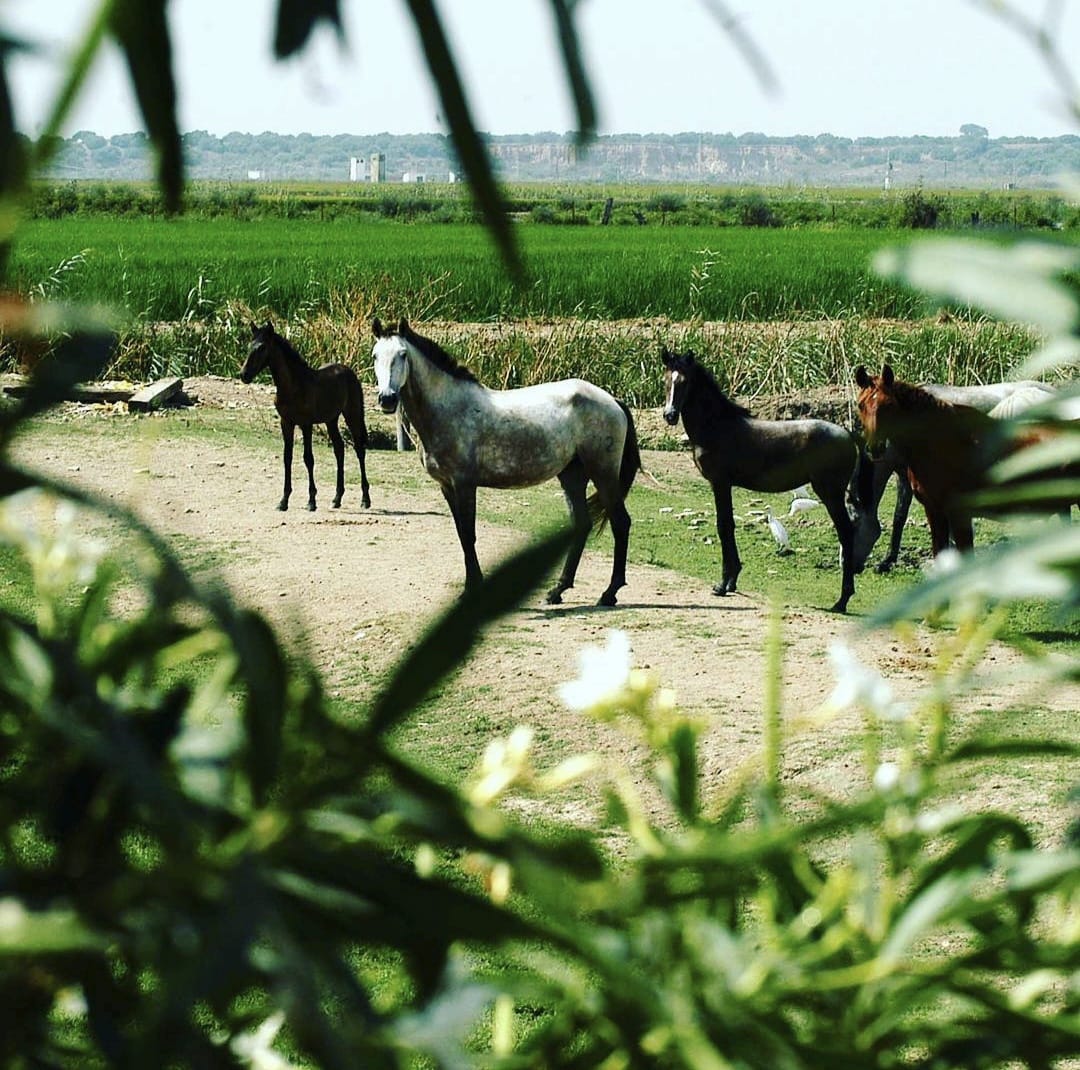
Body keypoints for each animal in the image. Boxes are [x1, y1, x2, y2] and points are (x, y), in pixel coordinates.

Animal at [240, 322, 371, 512]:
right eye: (250, 345)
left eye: (262, 347)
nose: (244, 375)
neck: (293, 385)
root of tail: (349, 372)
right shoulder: (286, 423)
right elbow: (287, 458)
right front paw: (283, 501)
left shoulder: (306, 424)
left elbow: (308, 458)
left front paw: (311, 501)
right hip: (331, 420)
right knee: (339, 449)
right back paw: (337, 498)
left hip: (352, 415)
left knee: (359, 450)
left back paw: (365, 499)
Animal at [371, 317, 640, 606]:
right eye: (375, 355)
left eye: (402, 354)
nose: (387, 399)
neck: (450, 410)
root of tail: (613, 400)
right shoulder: (446, 486)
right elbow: (461, 535)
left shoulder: (464, 484)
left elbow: (469, 535)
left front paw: (472, 589)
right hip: (572, 476)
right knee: (582, 525)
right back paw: (558, 591)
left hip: (603, 473)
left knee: (621, 522)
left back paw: (609, 593)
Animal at [661, 347, 859, 614]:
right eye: (666, 380)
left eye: (685, 382)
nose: (670, 415)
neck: (717, 427)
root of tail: (850, 437)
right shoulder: (725, 485)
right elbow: (728, 525)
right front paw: (732, 581)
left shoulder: (720, 483)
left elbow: (724, 526)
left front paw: (722, 585)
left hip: (830, 494)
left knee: (846, 534)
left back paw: (842, 600)